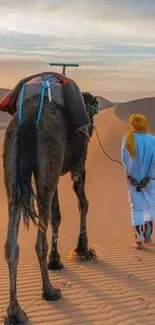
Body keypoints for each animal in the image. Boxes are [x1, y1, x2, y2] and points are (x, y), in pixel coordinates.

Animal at [2, 86, 98, 324]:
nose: (91, 128)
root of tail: (28, 118)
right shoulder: (78, 168)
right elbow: (84, 204)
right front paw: (83, 249)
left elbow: (57, 215)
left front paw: (56, 260)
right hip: (49, 160)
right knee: (39, 241)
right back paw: (50, 291)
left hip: (13, 167)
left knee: (11, 244)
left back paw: (15, 312)